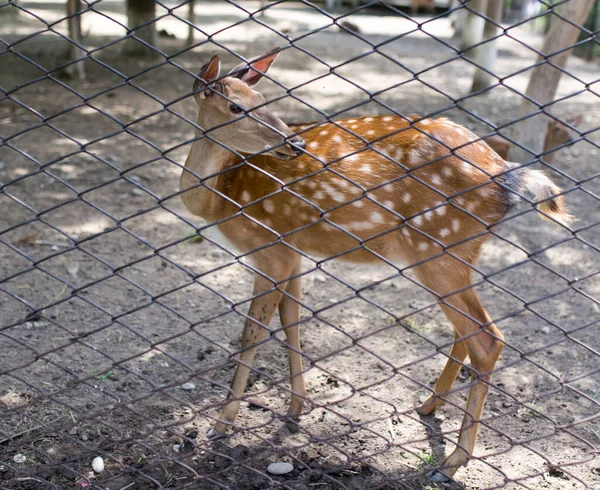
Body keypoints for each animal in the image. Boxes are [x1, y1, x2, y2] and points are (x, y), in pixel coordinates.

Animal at [180, 49, 576, 482]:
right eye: (236, 106)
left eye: (263, 100)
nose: (295, 143)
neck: (217, 198)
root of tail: (507, 176)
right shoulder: (293, 252)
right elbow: (292, 322)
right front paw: (296, 407)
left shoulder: (269, 248)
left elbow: (251, 333)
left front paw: (222, 423)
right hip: (456, 252)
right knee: (467, 331)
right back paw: (428, 405)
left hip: (437, 247)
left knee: (488, 339)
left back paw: (453, 460)